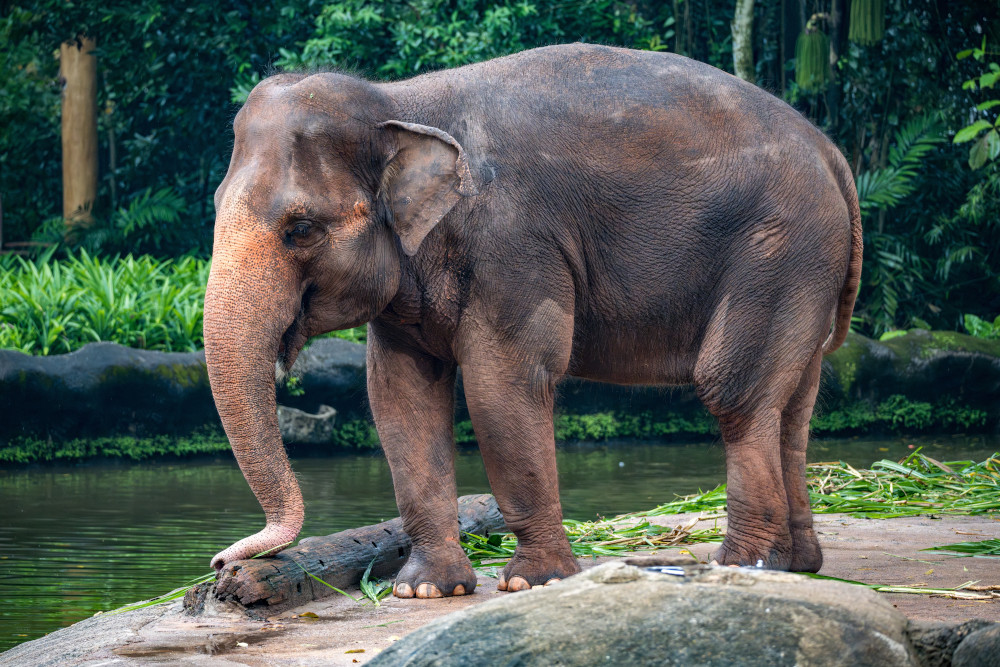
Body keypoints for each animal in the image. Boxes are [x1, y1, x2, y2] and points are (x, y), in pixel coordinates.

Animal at [204, 43, 861, 599]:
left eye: (300, 229)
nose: (219, 561)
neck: (399, 102)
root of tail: (833, 153)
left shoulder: (515, 243)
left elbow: (501, 385)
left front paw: (532, 581)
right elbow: (399, 396)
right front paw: (427, 590)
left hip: (778, 249)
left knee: (735, 393)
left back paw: (742, 567)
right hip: (806, 268)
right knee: (793, 406)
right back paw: (799, 565)